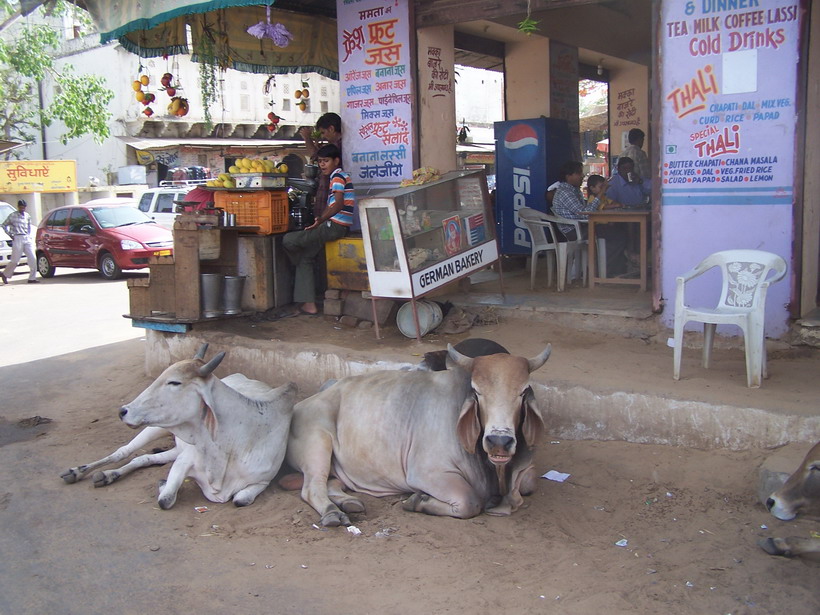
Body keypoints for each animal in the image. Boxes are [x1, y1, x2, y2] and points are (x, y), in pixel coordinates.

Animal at [61, 346, 298, 510]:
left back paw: (108, 475)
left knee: (144, 458)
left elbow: (240, 500)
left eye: (174, 382)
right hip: (155, 428)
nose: (123, 410)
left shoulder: (262, 482)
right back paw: (79, 471)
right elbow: (165, 499)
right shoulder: (184, 461)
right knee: (123, 452)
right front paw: (163, 484)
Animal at [286, 344, 552, 528]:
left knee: (331, 483)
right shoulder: (426, 473)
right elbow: (469, 501)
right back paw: (333, 512)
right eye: (477, 391)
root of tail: (302, 403)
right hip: (317, 443)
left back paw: (349, 502)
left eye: (522, 392)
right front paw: (418, 500)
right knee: (312, 488)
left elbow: (528, 484)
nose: (499, 441)